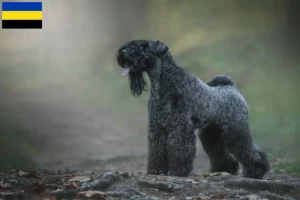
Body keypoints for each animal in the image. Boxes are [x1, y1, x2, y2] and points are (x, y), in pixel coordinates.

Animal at [116, 39, 270, 178]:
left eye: (144, 45)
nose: (123, 52)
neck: (162, 84)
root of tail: (231, 87)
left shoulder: (180, 127)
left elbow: (179, 149)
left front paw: (178, 171)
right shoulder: (157, 128)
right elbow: (156, 150)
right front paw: (156, 170)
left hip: (236, 131)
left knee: (251, 151)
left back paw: (256, 171)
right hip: (211, 133)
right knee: (220, 153)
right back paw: (223, 170)